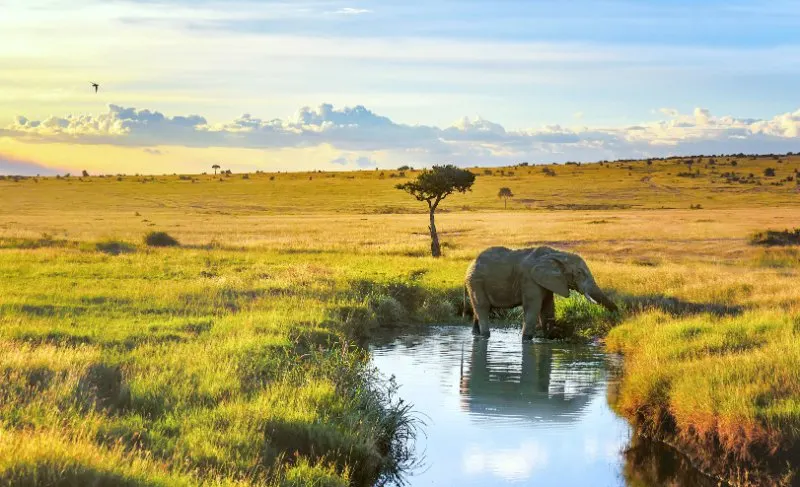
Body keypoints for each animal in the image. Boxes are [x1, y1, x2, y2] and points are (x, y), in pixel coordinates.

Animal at [462, 246, 620, 342]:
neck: (558, 254)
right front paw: (526, 340)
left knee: (478, 310)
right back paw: (485, 336)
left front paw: (550, 336)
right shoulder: (529, 280)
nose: (618, 315)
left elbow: (547, 309)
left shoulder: (548, 281)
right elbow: (533, 308)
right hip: (476, 282)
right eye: (580, 273)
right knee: (482, 307)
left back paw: (476, 334)